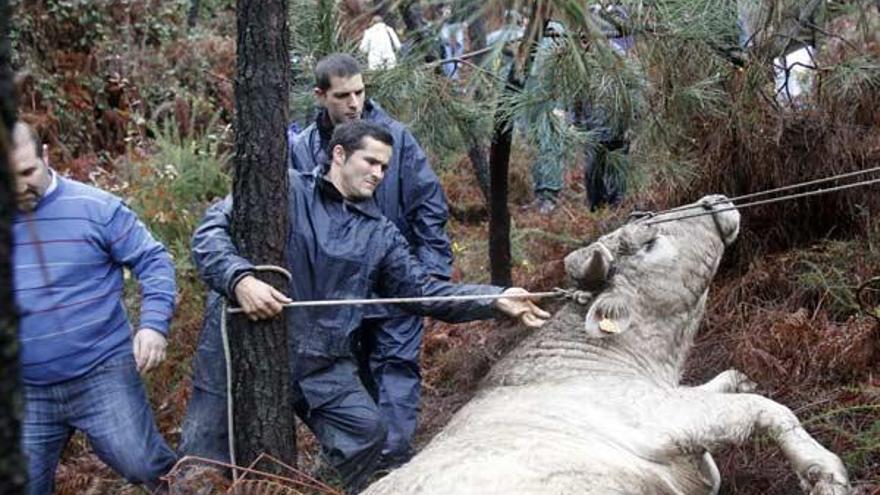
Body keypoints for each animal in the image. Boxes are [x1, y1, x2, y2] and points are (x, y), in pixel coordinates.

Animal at [360, 196, 848, 494]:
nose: (715, 202)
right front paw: (824, 472)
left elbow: (726, 387)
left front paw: (742, 377)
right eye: (650, 242)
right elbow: (765, 409)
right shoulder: (660, 417)